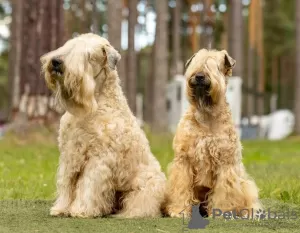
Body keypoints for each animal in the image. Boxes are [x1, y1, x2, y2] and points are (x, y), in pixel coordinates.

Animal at [40, 33, 166, 218]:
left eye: (88, 55)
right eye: (69, 46)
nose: (56, 61)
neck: (93, 105)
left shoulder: (99, 158)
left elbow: (88, 185)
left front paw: (81, 210)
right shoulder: (69, 154)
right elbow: (66, 183)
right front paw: (61, 208)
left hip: (147, 185)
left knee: (142, 204)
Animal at [163, 48, 262, 217]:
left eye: (215, 66)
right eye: (195, 63)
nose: (199, 76)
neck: (206, 115)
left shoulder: (225, 164)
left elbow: (224, 192)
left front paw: (220, 212)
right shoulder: (183, 161)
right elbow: (181, 188)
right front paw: (179, 210)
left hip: (244, 183)